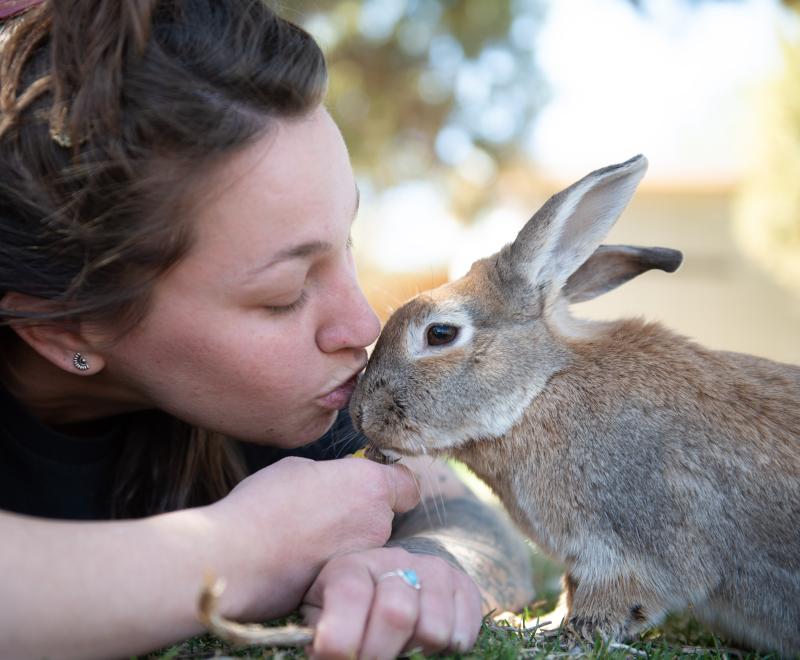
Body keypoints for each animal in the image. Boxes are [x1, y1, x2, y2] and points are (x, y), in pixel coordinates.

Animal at [349, 155, 800, 655]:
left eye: (440, 333)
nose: (359, 413)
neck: (540, 390)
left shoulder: (631, 550)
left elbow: (619, 599)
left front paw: (564, 636)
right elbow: (571, 590)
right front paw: (536, 622)